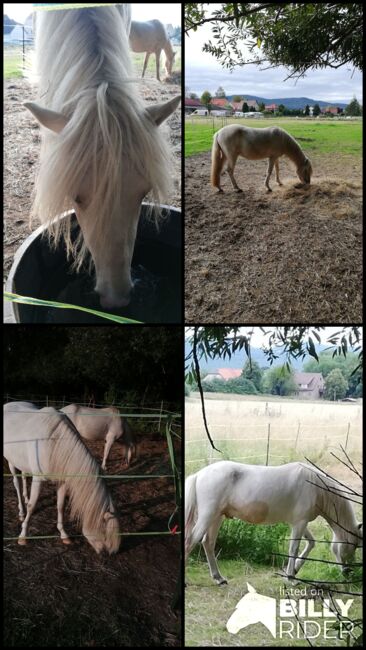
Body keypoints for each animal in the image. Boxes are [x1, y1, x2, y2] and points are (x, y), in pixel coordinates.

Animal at [3, 400, 120, 552]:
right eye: (104, 532)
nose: (106, 553)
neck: (54, 441)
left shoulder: (62, 481)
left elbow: (60, 506)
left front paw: (64, 534)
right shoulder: (38, 479)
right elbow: (32, 506)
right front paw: (23, 536)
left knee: (23, 476)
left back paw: (26, 498)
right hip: (10, 461)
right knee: (16, 483)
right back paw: (21, 512)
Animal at [184, 460, 362, 584]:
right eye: (354, 545)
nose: (349, 572)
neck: (315, 487)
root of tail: (199, 474)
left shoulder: (299, 523)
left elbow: (310, 543)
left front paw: (294, 569)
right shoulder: (300, 523)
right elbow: (294, 548)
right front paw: (291, 578)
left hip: (217, 517)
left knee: (208, 543)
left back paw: (218, 578)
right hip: (208, 516)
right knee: (191, 540)